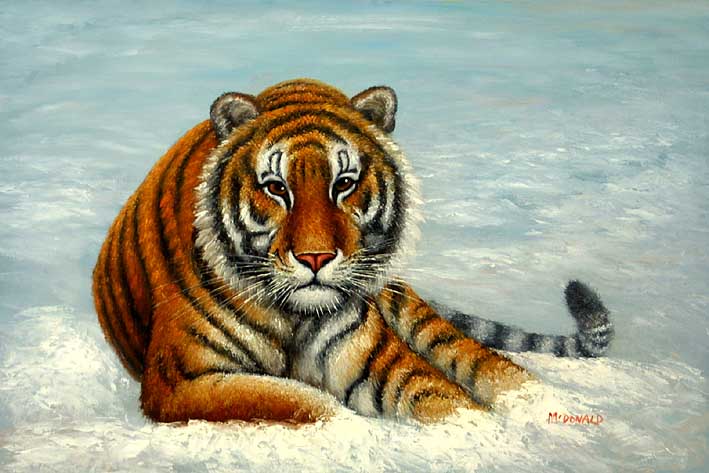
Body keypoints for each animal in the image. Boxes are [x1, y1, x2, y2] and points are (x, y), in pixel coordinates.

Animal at [92, 78, 613, 424]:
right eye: (276, 188)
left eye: (344, 183)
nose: (316, 260)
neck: (294, 317)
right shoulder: (179, 381)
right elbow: (303, 403)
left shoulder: (373, 361)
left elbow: (447, 401)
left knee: (488, 364)